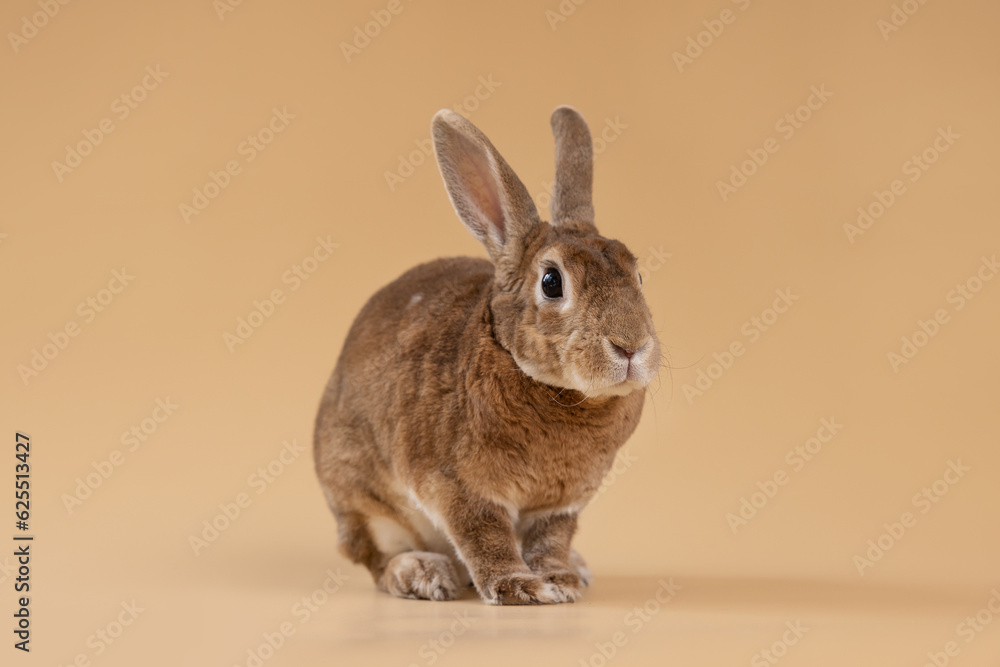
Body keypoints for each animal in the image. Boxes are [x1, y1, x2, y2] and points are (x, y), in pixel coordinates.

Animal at [313, 105, 661, 605]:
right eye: (551, 282)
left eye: (638, 275)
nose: (630, 345)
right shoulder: (459, 487)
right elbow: (485, 536)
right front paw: (520, 588)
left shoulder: (562, 504)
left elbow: (551, 541)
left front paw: (561, 582)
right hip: (362, 500)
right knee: (378, 558)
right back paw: (423, 573)